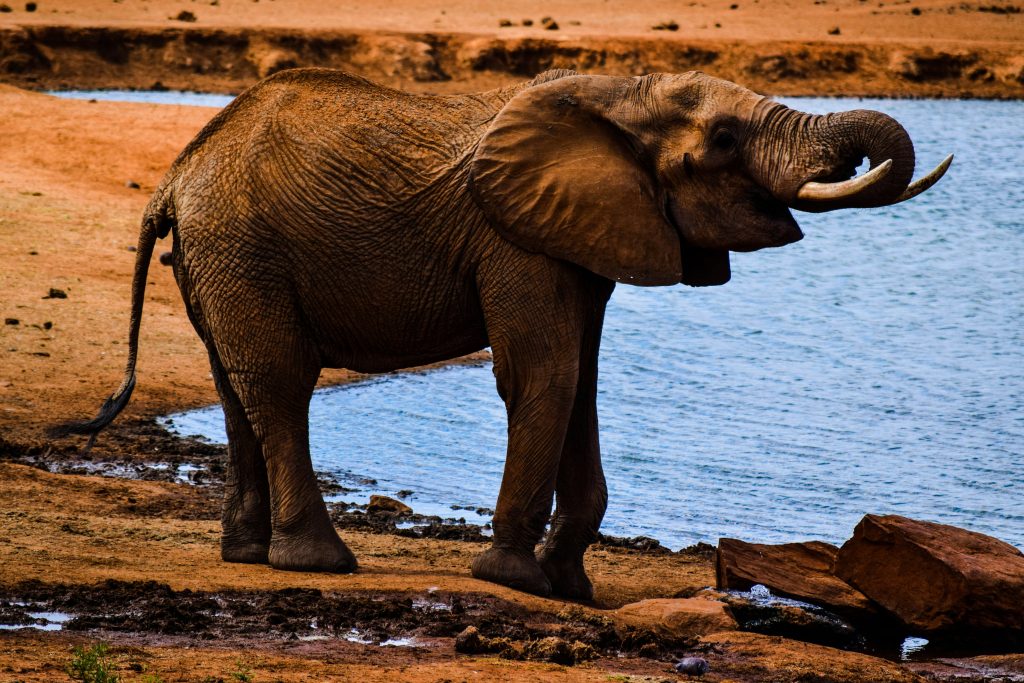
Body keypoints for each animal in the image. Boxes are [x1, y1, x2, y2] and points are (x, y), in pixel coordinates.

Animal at [54, 68, 950, 599]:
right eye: (724, 141)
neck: (615, 95)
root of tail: (173, 176)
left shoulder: (583, 233)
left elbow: (583, 378)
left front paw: (569, 584)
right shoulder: (514, 239)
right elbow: (543, 374)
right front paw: (517, 578)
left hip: (218, 256)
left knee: (233, 384)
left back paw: (244, 554)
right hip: (243, 246)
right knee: (278, 382)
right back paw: (318, 561)